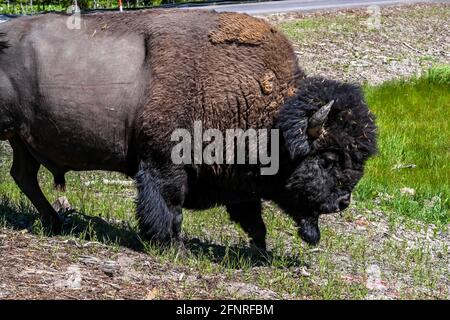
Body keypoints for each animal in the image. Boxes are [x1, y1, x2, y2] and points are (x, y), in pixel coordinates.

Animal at [0, 9, 376, 250]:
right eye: (327, 159)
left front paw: (261, 250)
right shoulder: (163, 163)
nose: (342, 202)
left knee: (23, 175)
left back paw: (54, 222)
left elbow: (251, 215)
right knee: (24, 175)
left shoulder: (239, 181)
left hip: (22, 140)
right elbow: (170, 206)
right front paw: (173, 246)